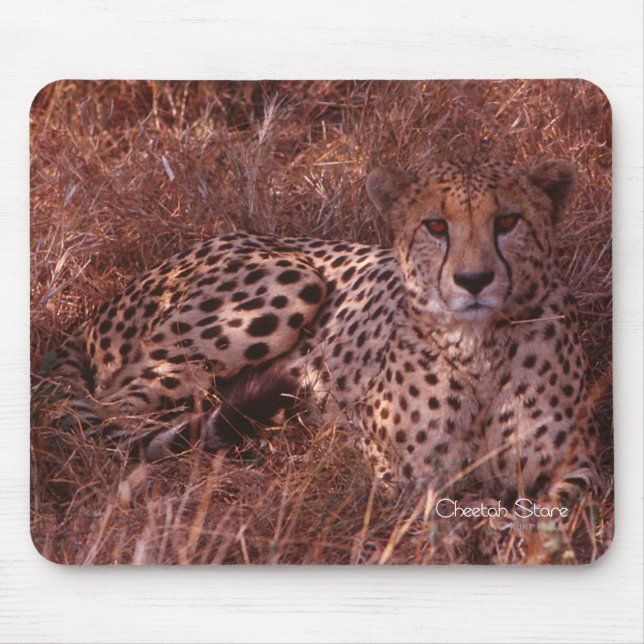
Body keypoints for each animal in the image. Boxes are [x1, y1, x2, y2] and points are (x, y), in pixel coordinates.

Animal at [44, 156, 600, 503]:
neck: (479, 348)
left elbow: (555, 512)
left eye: (507, 221)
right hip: (291, 282)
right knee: (114, 413)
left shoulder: (580, 467)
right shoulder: (399, 474)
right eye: (436, 226)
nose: (474, 280)